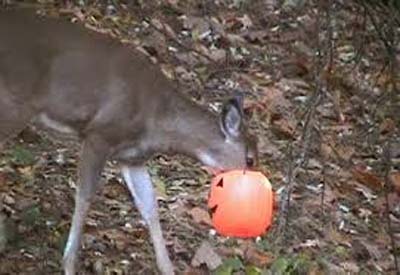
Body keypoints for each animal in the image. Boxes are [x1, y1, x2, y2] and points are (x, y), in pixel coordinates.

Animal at [0, 7, 258, 274]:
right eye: (250, 159)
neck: (157, 121)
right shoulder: (99, 135)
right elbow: (85, 196)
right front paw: (69, 264)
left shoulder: (132, 158)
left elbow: (150, 206)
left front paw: (167, 267)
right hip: (13, 103)